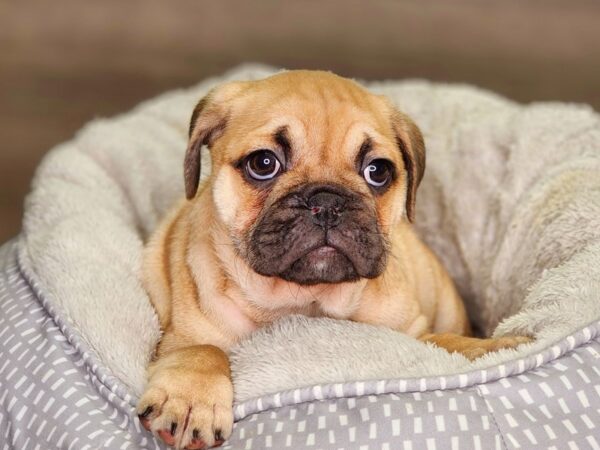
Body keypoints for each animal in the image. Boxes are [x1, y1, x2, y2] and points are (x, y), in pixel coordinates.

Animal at [137, 70, 528, 446]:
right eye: (263, 163)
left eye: (378, 171)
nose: (327, 202)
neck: (306, 299)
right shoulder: (182, 336)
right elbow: (203, 350)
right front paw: (191, 399)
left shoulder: (412, 332)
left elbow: (445, 342)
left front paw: (496, 346)